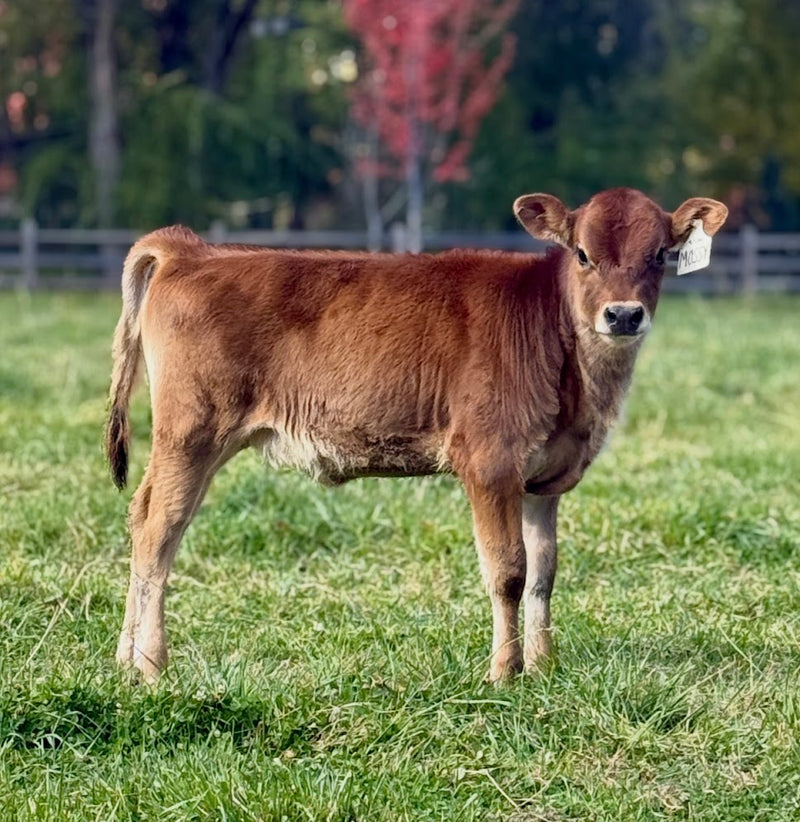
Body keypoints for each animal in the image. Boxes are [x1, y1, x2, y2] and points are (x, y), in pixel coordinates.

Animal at [105, 187, 728, 684]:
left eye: (659, 255)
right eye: (582, 253)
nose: (623, 316)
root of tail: (193, 250)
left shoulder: (543, 479)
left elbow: (543, 575)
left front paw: (545, 666)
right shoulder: (489, 461)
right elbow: (508, 571)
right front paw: (505, 672)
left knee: (140, 515)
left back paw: (124, 661)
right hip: (192, 432)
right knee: (160, 532)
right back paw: (152, 666)